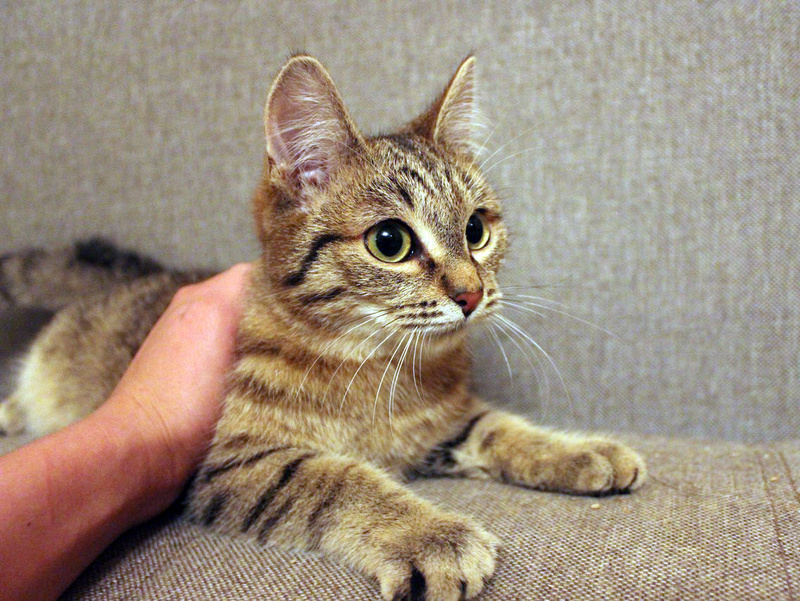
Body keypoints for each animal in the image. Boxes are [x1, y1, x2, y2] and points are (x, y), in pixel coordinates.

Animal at [1, 55, 646, 600]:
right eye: (390, 241)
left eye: (476, 230)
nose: (470, 294)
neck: (379, 368)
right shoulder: (241, 460)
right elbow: (338, 480)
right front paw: (431, 536)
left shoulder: (441, 425)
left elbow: (498, 426)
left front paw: (579, 451)